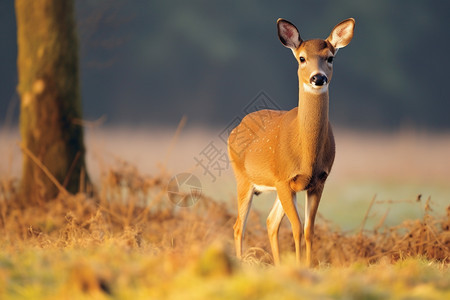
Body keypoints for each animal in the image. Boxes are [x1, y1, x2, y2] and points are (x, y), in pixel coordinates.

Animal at [229, 17, 356, 266]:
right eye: (302, 58)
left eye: (330, 57)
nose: (318, 78)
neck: (306, 152)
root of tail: (235, 129)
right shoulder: (283, 178)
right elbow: (296, 228)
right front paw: (299, 266)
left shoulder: (317, 181)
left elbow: (308, 230)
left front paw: (307, 266)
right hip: (244, 177)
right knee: (239, 225)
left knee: (270, 222)